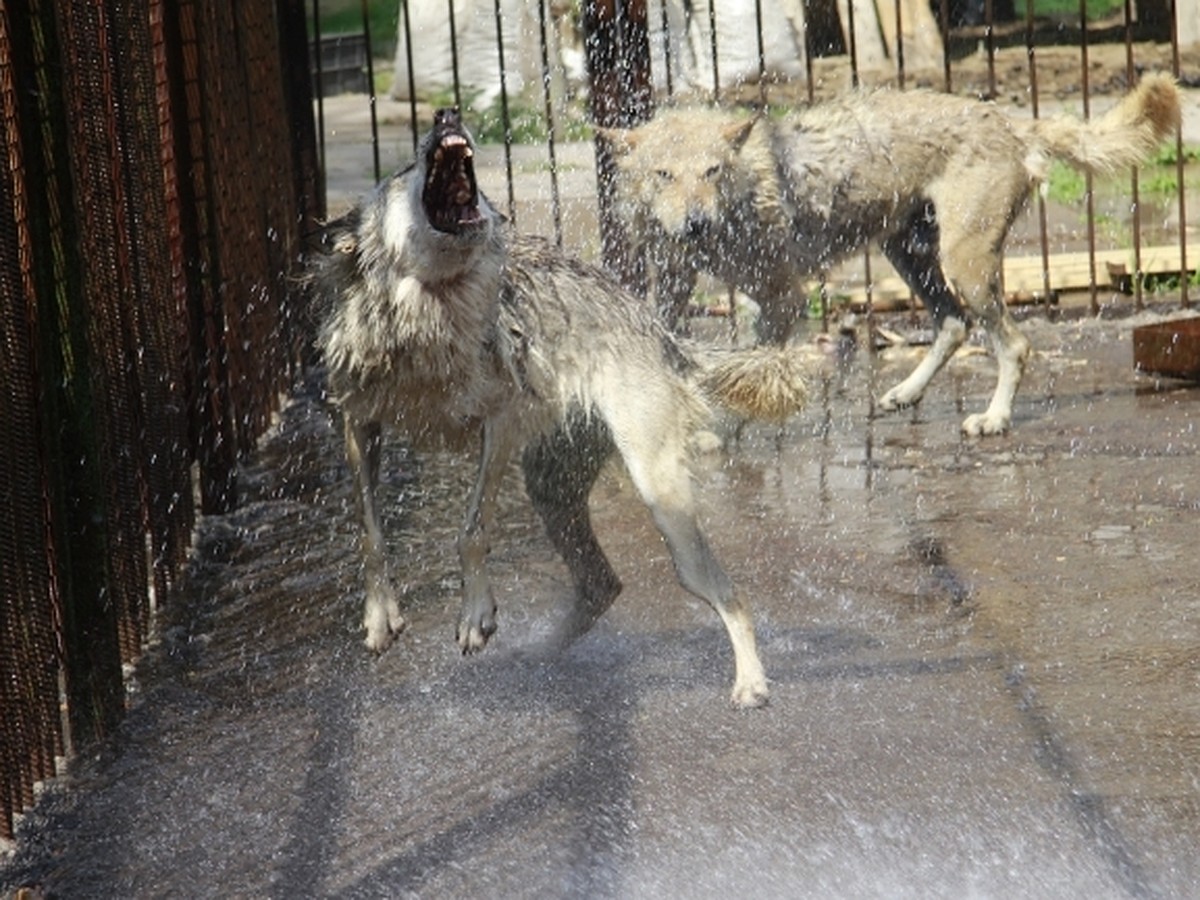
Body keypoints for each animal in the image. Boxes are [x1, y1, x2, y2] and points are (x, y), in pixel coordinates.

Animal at [314, 107, 811, 710]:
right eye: (404, 171)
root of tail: (655, 324)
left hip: (660, 497)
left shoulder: (499, 421)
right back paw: (537, 655)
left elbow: (472, 529)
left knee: (725, 591)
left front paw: (475, 616)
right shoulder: (358, 421)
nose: (446, 114)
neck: (431, 313)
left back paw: (751, 683)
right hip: (552, 490)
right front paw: (380, 617)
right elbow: (370, 531)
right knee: (603, 583)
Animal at [604, 75, 1176, 434]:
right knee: (954, 326)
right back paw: (904, 393)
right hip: (912, 258)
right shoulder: (677, 287)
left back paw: (993, 420)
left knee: (1013, 344)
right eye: (664, 175)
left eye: (712, 172)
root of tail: (1010, 120)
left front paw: (724, 425)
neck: (739, 199)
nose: (695, 223)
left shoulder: (783, 298)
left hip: (963, 265)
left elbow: (746, 369)